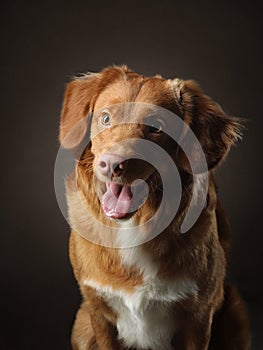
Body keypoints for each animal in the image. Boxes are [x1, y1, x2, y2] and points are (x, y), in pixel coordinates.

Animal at [58, 66, 251, 350]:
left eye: (156, 128)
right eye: (105, 118)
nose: (111, 164)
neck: (134, 224)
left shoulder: (198, 318)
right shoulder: (98, 312)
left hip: (236, 310)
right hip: (81, 326)